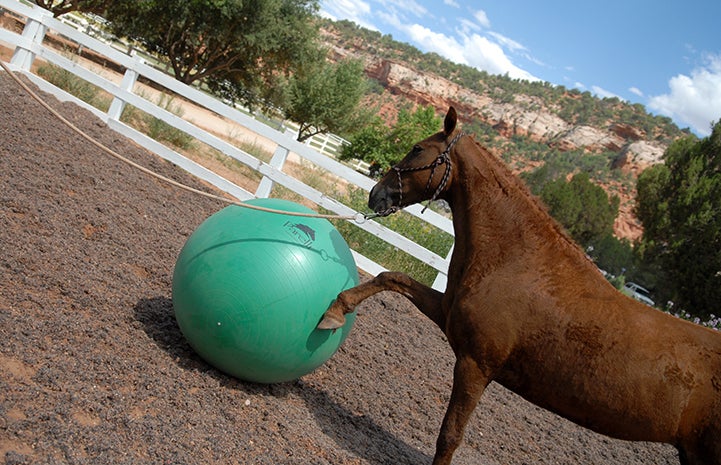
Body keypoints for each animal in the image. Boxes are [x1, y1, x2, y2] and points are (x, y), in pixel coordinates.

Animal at [320, 106, 720, 464]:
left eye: (418, 149)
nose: (377, 194)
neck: (518, 260)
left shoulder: (476, 365)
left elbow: (449, 436)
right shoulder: (447, 314)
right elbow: (391, 277)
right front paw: (335, 312)